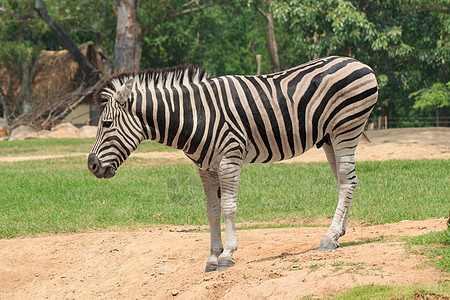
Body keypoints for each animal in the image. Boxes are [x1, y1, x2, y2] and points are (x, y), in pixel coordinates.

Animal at [87, 55, 376, 272]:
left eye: (107, 124)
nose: (91, 166)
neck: (197, 115)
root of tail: (358, 62)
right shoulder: (205, 168)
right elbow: (212, 211)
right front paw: (213, 257)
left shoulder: (229, 160)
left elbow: (228, 208)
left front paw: (227, 255)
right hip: (328, 138)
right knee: (345, 181)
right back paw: (338, 234)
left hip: (346, 129)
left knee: (347, 181)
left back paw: (329, 237)